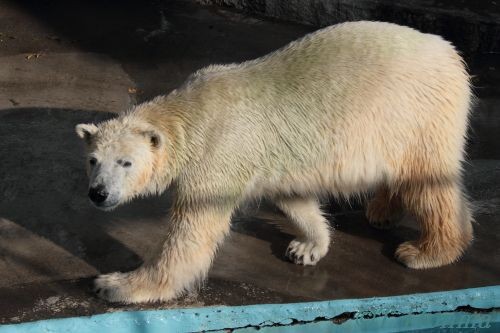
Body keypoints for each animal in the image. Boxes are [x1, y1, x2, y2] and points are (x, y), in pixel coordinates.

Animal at [75, 21, 472, 304]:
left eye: (125, 162)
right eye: (93, 160)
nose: (99, 194)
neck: (193, 112)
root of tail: (449, 51)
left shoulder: (218, 153)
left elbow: (191, 233)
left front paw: (116, 285)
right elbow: (292, 198)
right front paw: (308, 246)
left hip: (416, 112)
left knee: (427, 181)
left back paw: (427, 250)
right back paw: (381, 210)